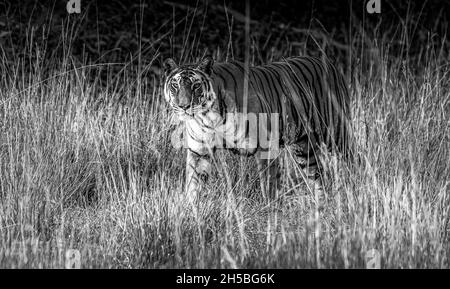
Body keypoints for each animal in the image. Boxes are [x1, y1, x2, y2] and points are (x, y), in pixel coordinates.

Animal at [163, 55, 352, 201]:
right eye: (175, 85)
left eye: (195, 86)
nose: (183, 106)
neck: (208, 116)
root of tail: (329, 63)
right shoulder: (199, 150)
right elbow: (193, 184)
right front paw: (192, 212)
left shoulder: (265, 147)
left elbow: (268, 184)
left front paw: (270, 211)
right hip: (303, 147)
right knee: (316, 174)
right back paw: (321, 204)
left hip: (335, 133)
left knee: (349, 158)